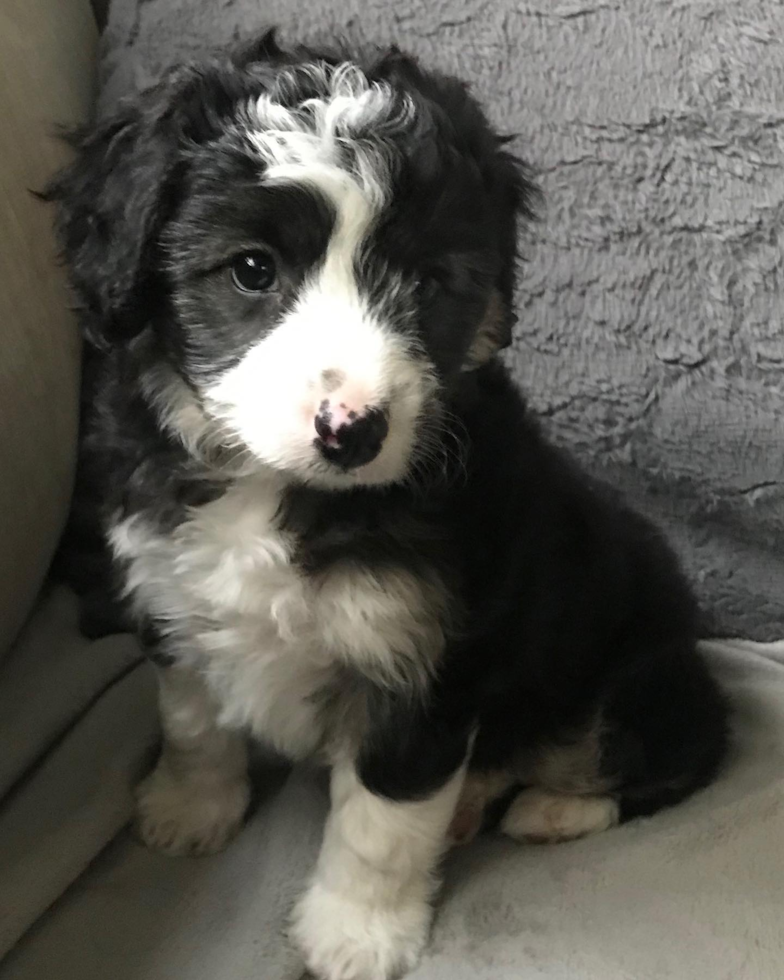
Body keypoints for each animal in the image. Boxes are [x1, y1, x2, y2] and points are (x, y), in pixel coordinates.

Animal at [44, 30, 728, 980]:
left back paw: (544, 809)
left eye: (429, 282)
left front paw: (355, 935)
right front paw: (190, 811)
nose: (353, 429)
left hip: (635, 671)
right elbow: (191, 721)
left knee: (660, 756)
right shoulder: (173, 594)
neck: (276, 491)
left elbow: (383, 819)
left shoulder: (421, 659)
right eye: (252, 270)